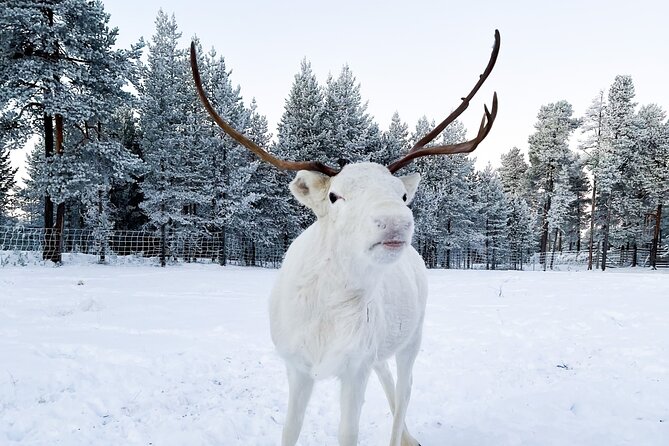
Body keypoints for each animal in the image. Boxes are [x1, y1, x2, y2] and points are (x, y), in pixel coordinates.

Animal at [190, 30, 500, 446]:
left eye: (401, 195)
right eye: (335, 196)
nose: (395, 221)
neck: (326, 316)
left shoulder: (355, 366)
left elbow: (348, 433)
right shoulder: (297, 365)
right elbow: (289, 431)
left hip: (413, 335)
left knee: (405, 388)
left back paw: (404, 436)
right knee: (390, 377)